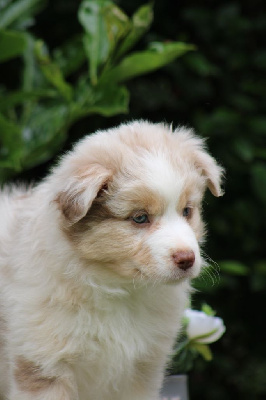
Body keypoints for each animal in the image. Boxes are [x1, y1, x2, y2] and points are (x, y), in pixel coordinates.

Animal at [0, 120, 222, 398]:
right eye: (140, 218)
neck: (117, 288)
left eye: (186, 211)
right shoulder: (42, 366)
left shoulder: (142, 370)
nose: (187, 259)